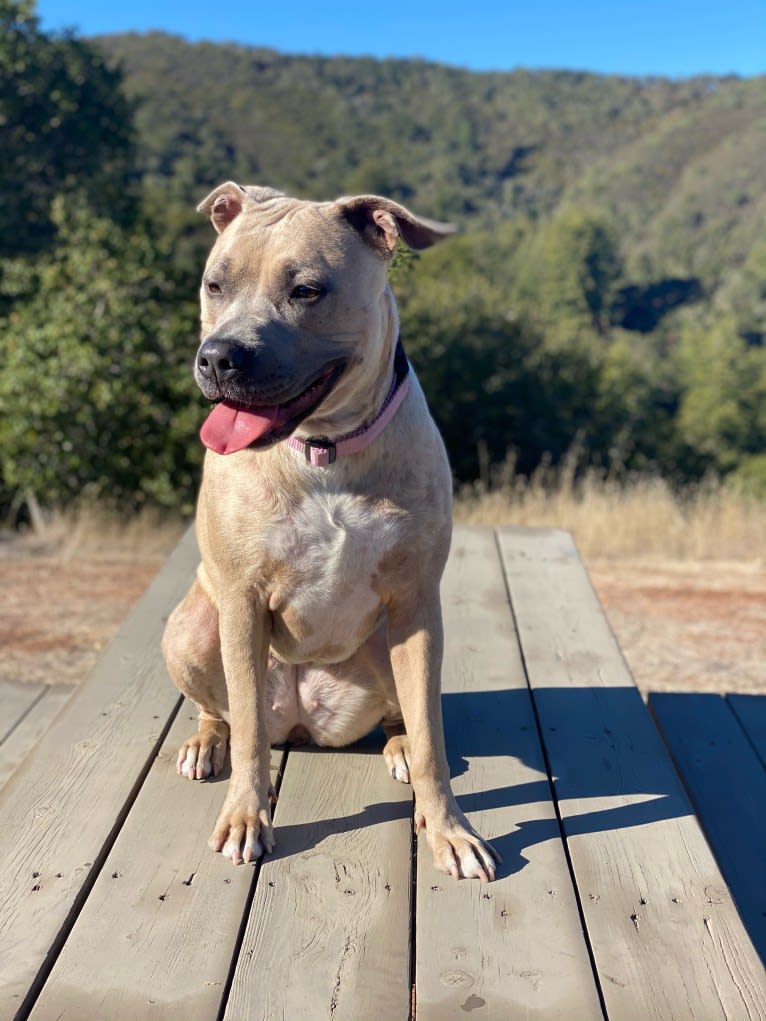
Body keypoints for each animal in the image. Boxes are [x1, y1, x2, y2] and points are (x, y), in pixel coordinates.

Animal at [160, 179, 498, 882]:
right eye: (214, 284)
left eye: (307, 290)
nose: (219, 357)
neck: (325, 451)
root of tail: (302, 725)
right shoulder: (242, 602)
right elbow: (250, 734)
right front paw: (246, 817)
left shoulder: (417, 603)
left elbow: (432, 733)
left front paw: (449, 829)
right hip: (194, 627)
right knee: (228, 712)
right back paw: (206, 742)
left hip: (389, 644)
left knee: (403, 717)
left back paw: (398, 745)